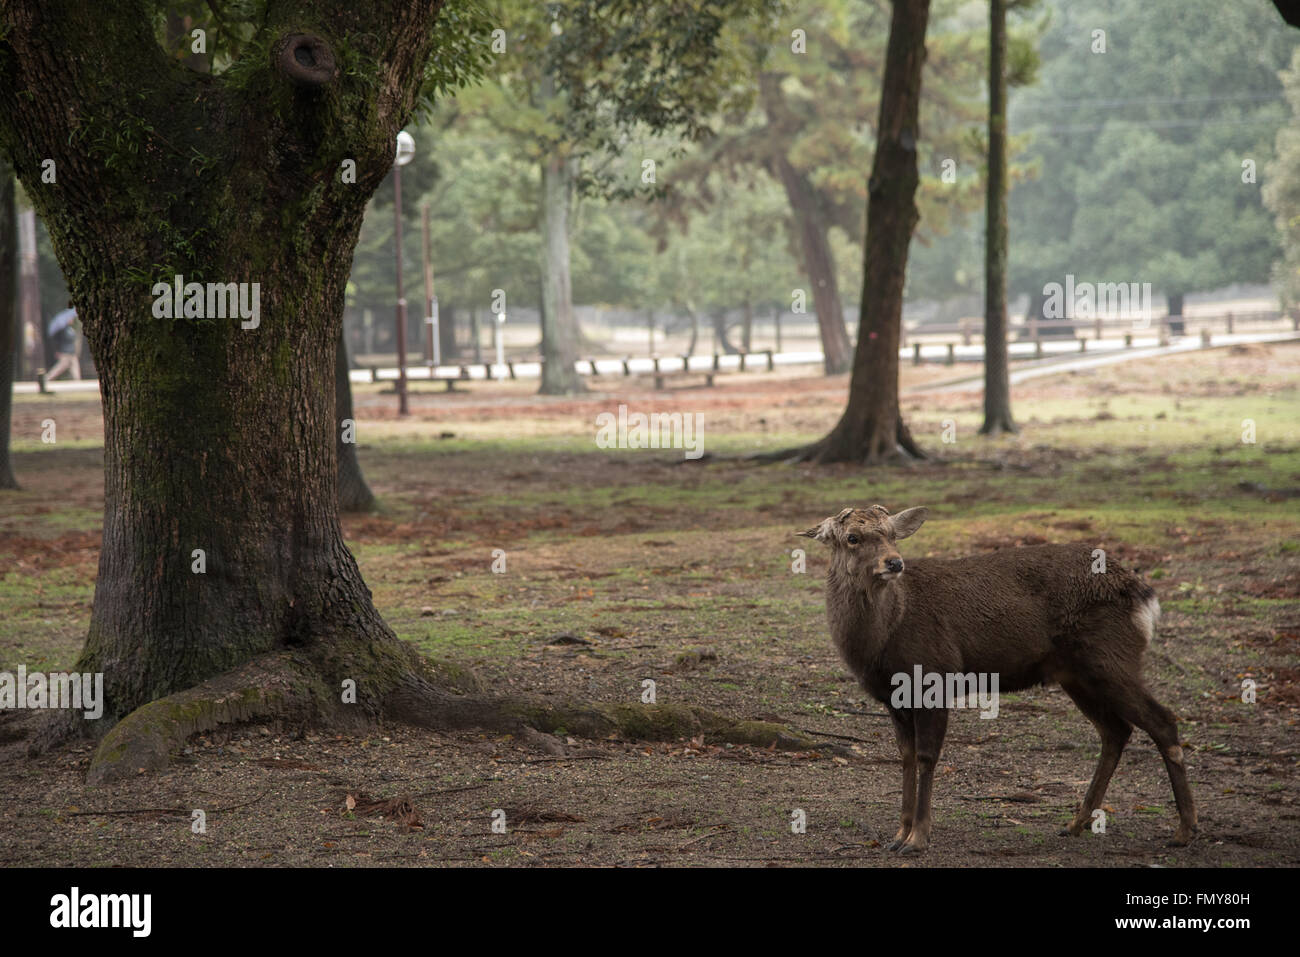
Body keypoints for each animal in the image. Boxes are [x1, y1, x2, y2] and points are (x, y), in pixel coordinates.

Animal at [795, 504, 1201, 858]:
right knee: (1116, 730)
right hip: (1078, 674)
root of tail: (1143, 593)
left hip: (1111, 659)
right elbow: (906, 758)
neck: (884, 635)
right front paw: (898, 834)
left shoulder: (936, 677)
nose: (894, 562)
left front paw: (918, 839)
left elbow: (927, 757)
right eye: (852, 537)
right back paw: (1076, 823)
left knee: (1162, 720)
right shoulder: (894, 698)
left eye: (893, 534)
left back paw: (1184, 830)